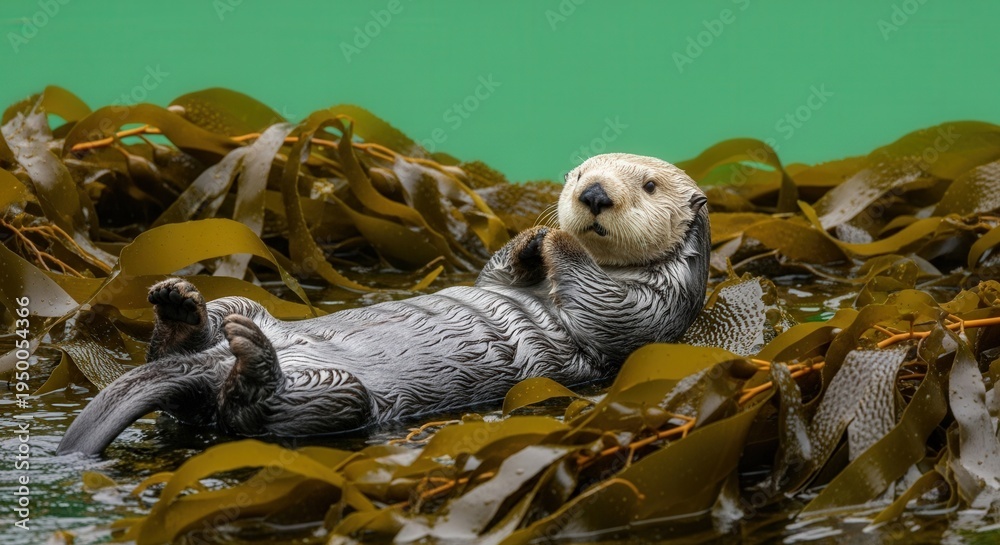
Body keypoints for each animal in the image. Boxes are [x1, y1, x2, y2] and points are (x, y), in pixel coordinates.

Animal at [57, 153, 711, 456]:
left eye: (648, 185)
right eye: (577, 173)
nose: (593, 194)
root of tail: (203, 367)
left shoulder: (657, 303)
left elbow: (611, 313)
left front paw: (560, 242)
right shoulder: (499, 278)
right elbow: (495, 270)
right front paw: (531, 239)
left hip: (338, 398)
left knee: (247, 414)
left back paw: (248, 358)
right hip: (243, 306)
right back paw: (179, 305)